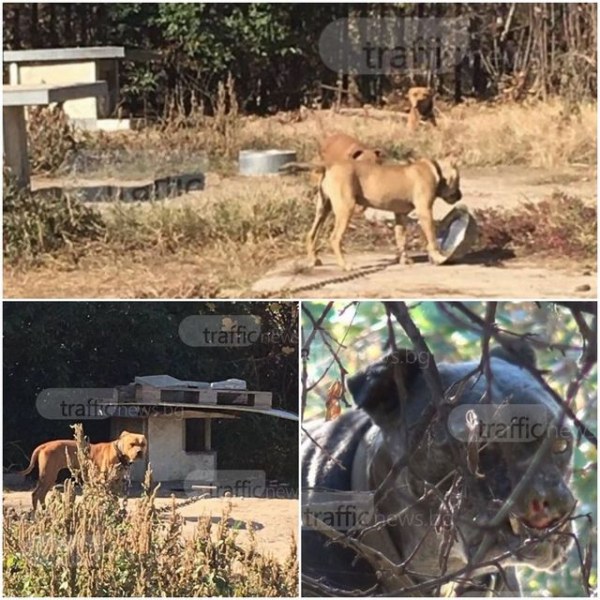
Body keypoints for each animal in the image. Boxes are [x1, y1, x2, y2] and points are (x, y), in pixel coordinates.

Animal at [308, 159, 462, 272]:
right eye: (458, 180)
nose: (460, 196)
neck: (435, 170)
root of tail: (328, 168)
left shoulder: (400, 215)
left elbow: (401, 239)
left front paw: (404, 260)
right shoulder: (424, 212)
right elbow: (432, 237)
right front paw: (438, 257)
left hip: (323, 209)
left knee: (312, 234)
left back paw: (314, 260)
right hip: (346, 209)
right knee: (334, 238)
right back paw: (344, 265)